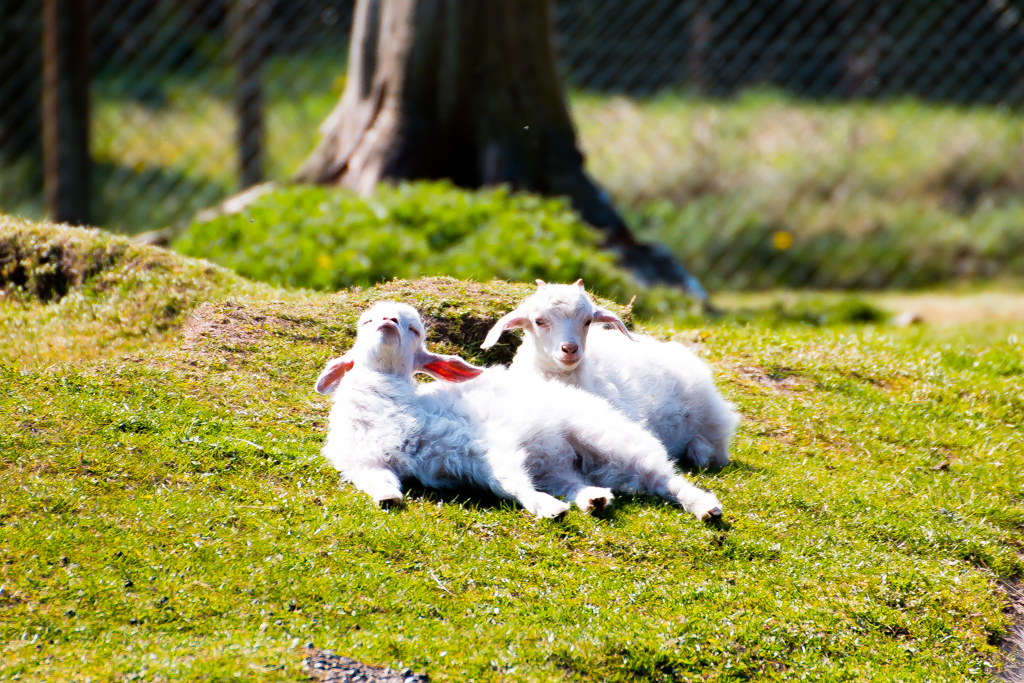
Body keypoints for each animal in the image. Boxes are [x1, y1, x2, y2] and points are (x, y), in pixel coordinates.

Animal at [315, 301, 724, 520]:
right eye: (367, 322)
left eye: (414, 330)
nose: (388, 323)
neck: (388, 405)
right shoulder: (364, 462)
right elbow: (380, 484)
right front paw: (388, 499)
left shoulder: (480, 445)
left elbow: (506, 481)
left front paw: (546, 509)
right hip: (562, 465)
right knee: (574, 481)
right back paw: (593, 499)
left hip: (609, 437)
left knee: (662, 476)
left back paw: (706, 507)